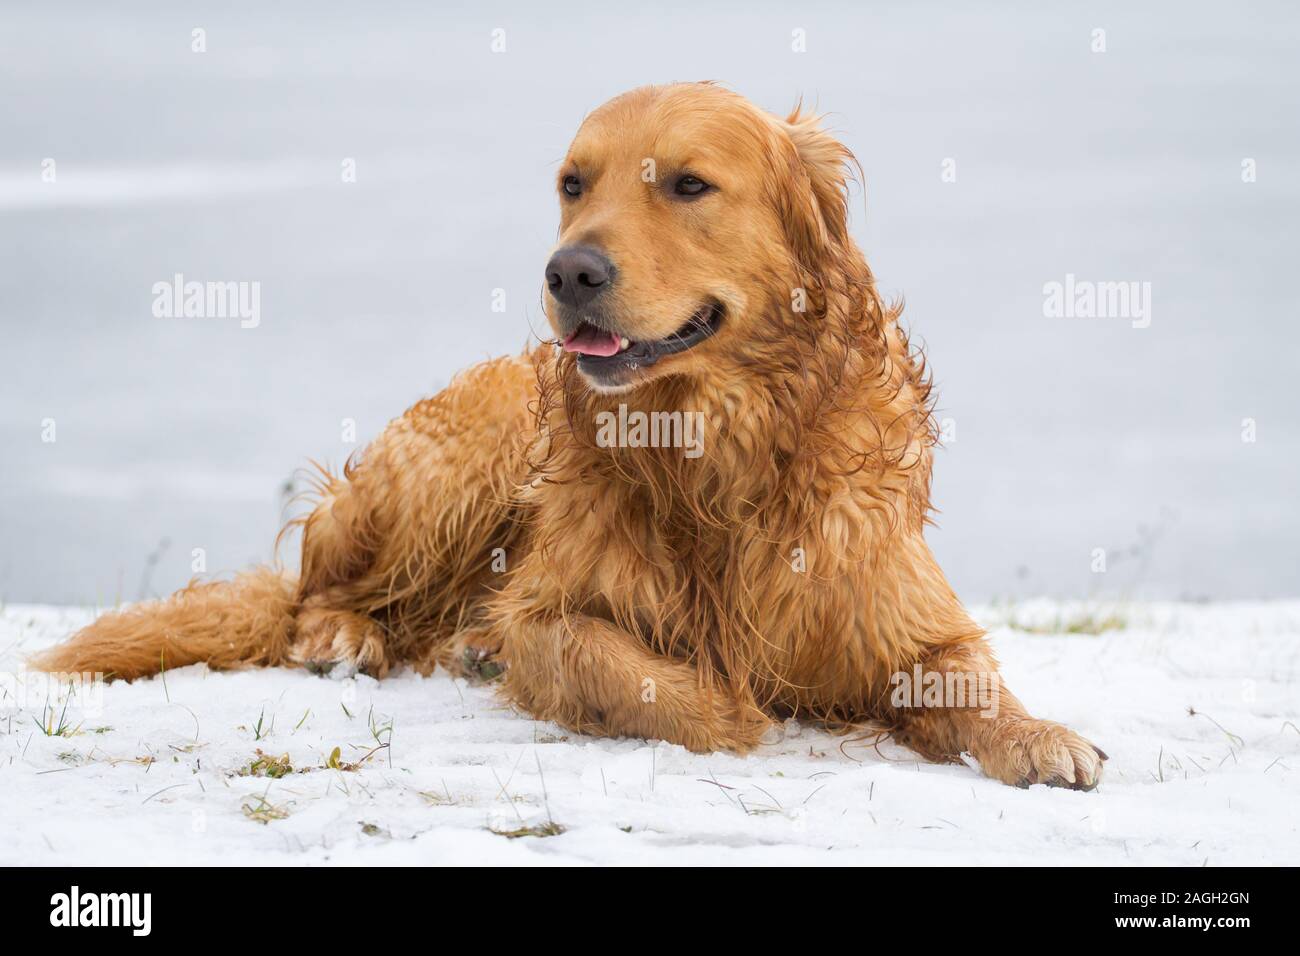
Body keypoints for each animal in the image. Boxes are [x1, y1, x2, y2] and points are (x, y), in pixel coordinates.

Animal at [35, 85, 1102, 790]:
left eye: (688, 185)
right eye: (572, 182)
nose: (569, 271)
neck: (715, 449)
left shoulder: (901, 609)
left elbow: (964, 681)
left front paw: (1042, 736)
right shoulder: (548, 606)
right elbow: (614, 666)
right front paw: (725, 705)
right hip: (458, 465)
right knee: (314, 588)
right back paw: (349, 636)